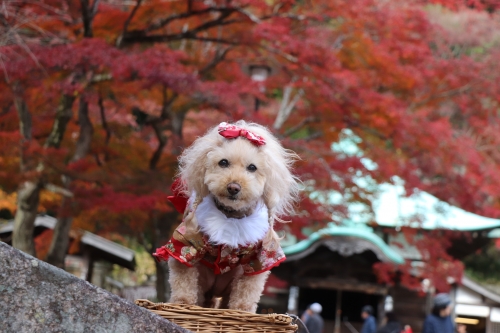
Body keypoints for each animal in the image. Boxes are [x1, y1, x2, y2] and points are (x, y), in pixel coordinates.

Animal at [154, 120, 298, 312]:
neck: (230, 215)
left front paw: (242, 311)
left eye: (252, 167)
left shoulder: (259, 258)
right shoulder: (187, 242)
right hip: (203, 281)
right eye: (223, 163)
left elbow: (248, 289)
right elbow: (183, 277)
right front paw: (182, 304)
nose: (233, 187)